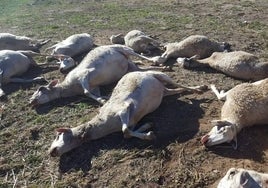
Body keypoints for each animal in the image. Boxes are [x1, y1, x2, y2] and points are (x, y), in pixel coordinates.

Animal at [28, 44, 163, 106]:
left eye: (41, 89)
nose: (31, 101)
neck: (69, 87)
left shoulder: (84, 75)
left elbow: (86, 92)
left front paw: (103, 100)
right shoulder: (94, 87)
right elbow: (92, 93)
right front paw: (104, 98)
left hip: (123, 49)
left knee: (139, 55)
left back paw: (157, 60)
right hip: (130, 65)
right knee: (141, 68)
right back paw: (161, 67)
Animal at [48, 70, 207, 156]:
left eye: (58, 136)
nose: (51, 152)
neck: (104, 124)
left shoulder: (124, 108)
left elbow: (125, 131)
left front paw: (149, 135)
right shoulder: (131, 120)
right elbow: (128, 132)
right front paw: (148, 128)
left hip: (159, 75)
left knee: (179, 84)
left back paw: (200, 88)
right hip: (164, 92)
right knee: (175, 90)